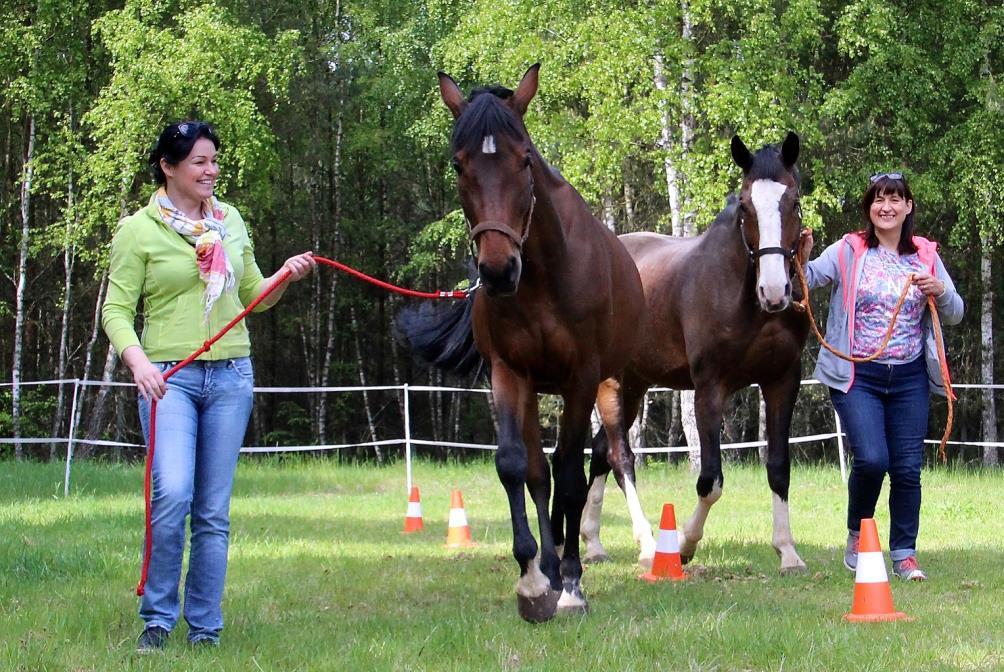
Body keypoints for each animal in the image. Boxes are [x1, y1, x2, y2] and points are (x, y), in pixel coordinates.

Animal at [397, 65, 642, 622]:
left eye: (524, 159)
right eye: (458, 163)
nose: (497, 269)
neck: (544, 278)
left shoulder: (580, 378)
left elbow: (571, 475)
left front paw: (571, 585)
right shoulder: (510, 373)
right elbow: (516, 466)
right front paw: (533, 580)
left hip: (614, 386)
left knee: (598, 459)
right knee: (538, 471)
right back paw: (549, 567)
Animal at [586, 133, 811, 574]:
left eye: (793, 202)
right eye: (745, 206)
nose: (775, 291)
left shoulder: (782, 381)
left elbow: (778, 468)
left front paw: (787, 551)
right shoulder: (709, 387)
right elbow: (711, 480)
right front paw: (685, 543)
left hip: (635, 385)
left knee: (601, 455)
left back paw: (593, 543)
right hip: (612, 384)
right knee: (621, 458)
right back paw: (647, 544)